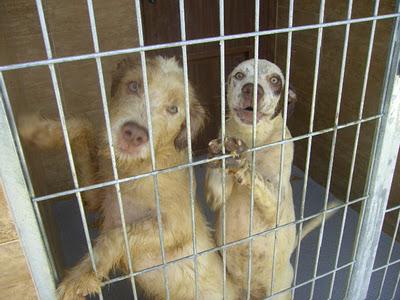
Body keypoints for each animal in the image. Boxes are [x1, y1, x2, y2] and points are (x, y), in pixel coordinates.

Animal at [18, 56, 236, 300]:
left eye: (173, 109)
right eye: (133, 86)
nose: (134, 134)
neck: (137, 170)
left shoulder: (179, 225)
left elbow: (118, 233)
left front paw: (79, 278)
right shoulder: (97, 200)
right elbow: (82, 125)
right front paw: (38, 131)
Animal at [206, 59, 328, 300]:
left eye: (274, 80)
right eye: (239, 75)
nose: (252, 89)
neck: (253, 139)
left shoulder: (275, 202)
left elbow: (258, 178)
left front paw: (242, 163)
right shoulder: (216, 195)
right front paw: (220, 154)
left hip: (278, 289)